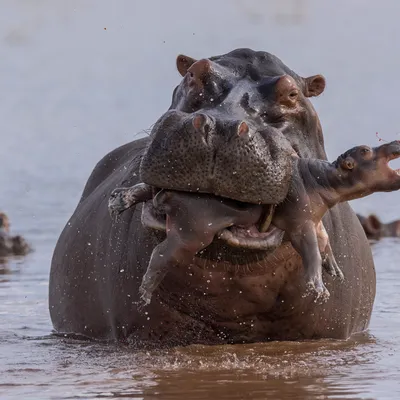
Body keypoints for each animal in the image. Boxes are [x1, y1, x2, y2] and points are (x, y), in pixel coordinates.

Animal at [272, 141, 400, 300]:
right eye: (365, 150)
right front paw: (319, 288)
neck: (325, 179)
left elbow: (324, 238)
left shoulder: (315, 220)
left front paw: (335, 270)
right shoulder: (300, 226)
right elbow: (313, 253)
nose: (396, 141)